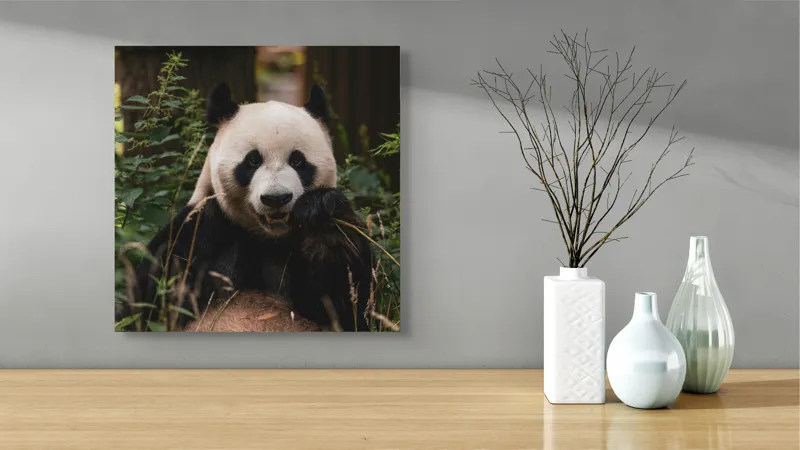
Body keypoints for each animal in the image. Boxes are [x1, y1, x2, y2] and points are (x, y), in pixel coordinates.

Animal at [116, 83, 375, 332]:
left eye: (297, 161)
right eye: (253, 160)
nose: (276, 198)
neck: (265, 239)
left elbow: (346, 306)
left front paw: (321, 218)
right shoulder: (198, 232)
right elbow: (148, 302)